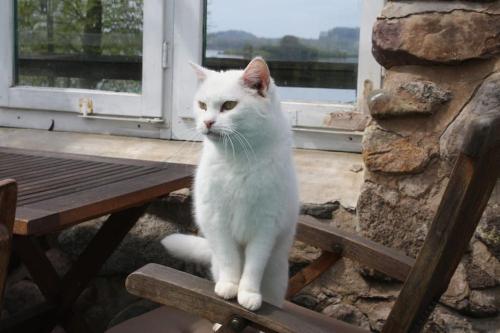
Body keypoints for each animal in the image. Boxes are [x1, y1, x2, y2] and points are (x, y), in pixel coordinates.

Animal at [162, 56, 298, 308]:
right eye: (202, 105)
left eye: (229, 106)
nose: (207, 122)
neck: (238, 158)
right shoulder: (217, 221)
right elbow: (230, 260)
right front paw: (229, 287)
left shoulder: (266, 226)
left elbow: (254, 266)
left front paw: (248, 294)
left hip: (276, 280)